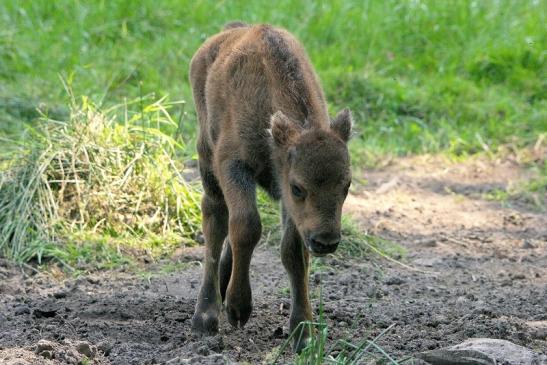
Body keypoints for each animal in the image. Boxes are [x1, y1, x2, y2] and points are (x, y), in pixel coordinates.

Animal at [189, 22, 352, 350]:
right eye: (298, 187)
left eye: (347, 186)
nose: (326, 241)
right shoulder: (233, 165)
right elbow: (246, 226)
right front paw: (238, 309)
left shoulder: (292, 210)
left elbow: (293, 252)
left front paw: (303, 333)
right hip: (206, 156)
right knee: (215, 219)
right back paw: (206, 316)